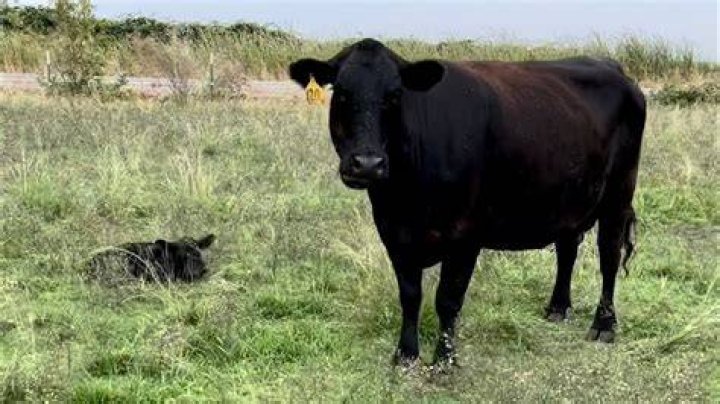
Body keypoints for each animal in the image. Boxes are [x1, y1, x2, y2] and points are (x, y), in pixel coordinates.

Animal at [289, 38, 645, 367]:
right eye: (341, 93)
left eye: (394, 96)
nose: (367, 164)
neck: (405, 198)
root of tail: (613, 67)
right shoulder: (394, 235)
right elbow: (410, 295)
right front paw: (406, 354)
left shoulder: (465, 236)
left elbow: (447, 300)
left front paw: (444, 359)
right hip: (569, 200)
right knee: (567, 249)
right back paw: (557, 308)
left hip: (618, 195)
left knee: (609, 256)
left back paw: (604, 325)